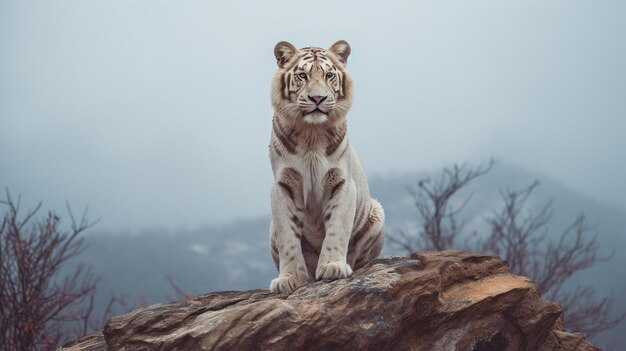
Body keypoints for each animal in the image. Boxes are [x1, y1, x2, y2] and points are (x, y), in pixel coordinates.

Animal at [266, 40, 382, 294]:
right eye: (302, 75)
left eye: (329, 75)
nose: (317, 99)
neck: (311, 134)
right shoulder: (283, 185)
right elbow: (287, 236)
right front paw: (289, 279)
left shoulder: (342, 183)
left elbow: (337, 228)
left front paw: (332, 267)